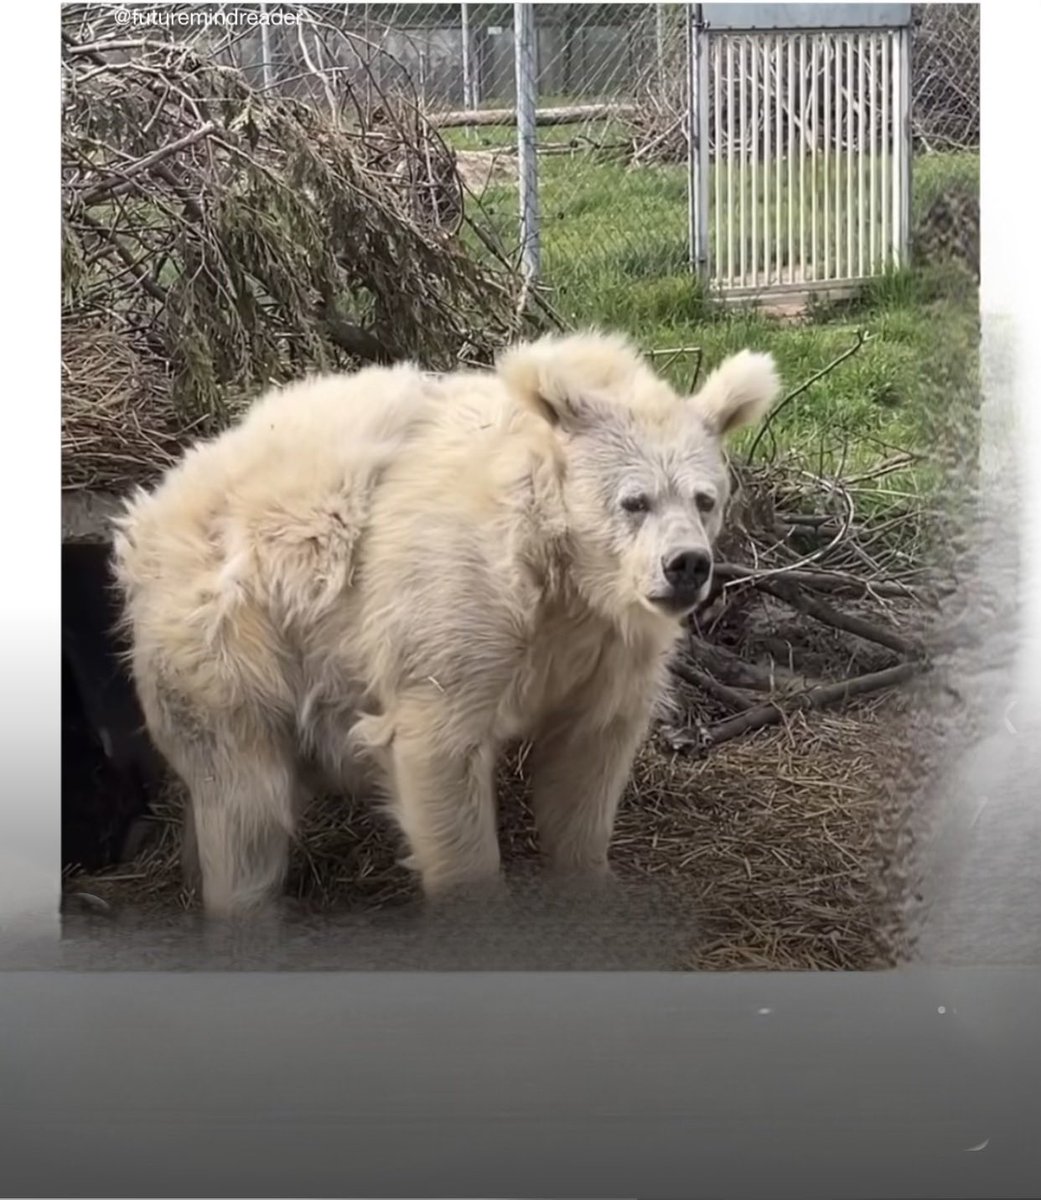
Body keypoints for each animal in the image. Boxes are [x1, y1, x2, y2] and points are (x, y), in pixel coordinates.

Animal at [111, 328, 781, 916]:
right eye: (634, 500)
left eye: (704, 498)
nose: (686, 565)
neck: (562, 570)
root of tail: (152, 508)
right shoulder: (458, 603)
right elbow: (440, 747)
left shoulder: (607, 645)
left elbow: (588, 759)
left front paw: (593, 884)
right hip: (228, 637)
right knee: (246, 802)